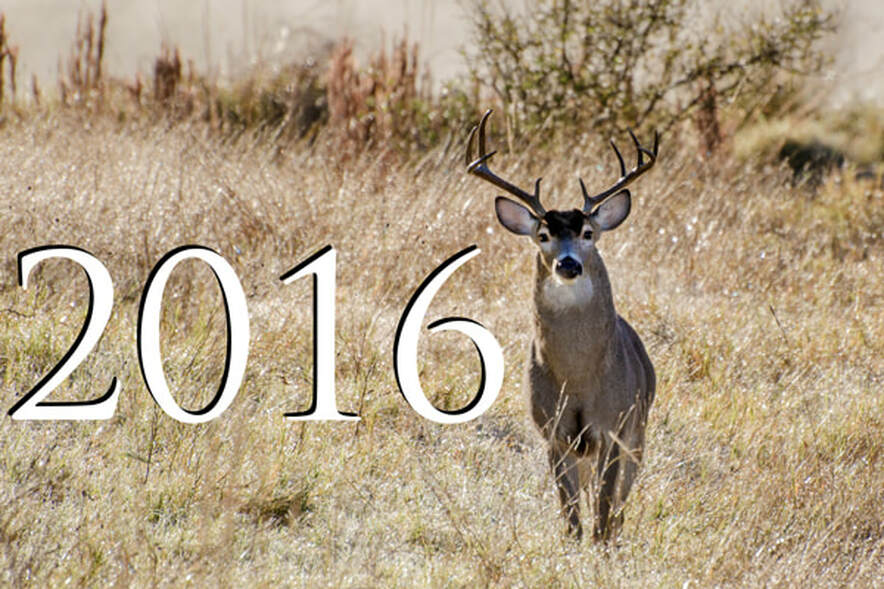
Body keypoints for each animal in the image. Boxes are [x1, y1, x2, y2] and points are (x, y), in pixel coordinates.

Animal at [470, 111, 656, 544]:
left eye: (588, 233)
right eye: (543, 235)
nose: (568, 264)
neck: (579, 379)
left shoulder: (614, 427)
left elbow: (604, 512)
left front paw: (602, 548)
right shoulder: (551, 431)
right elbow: (570, 515)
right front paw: (575, 545)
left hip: (638, 435)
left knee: (619, 506)